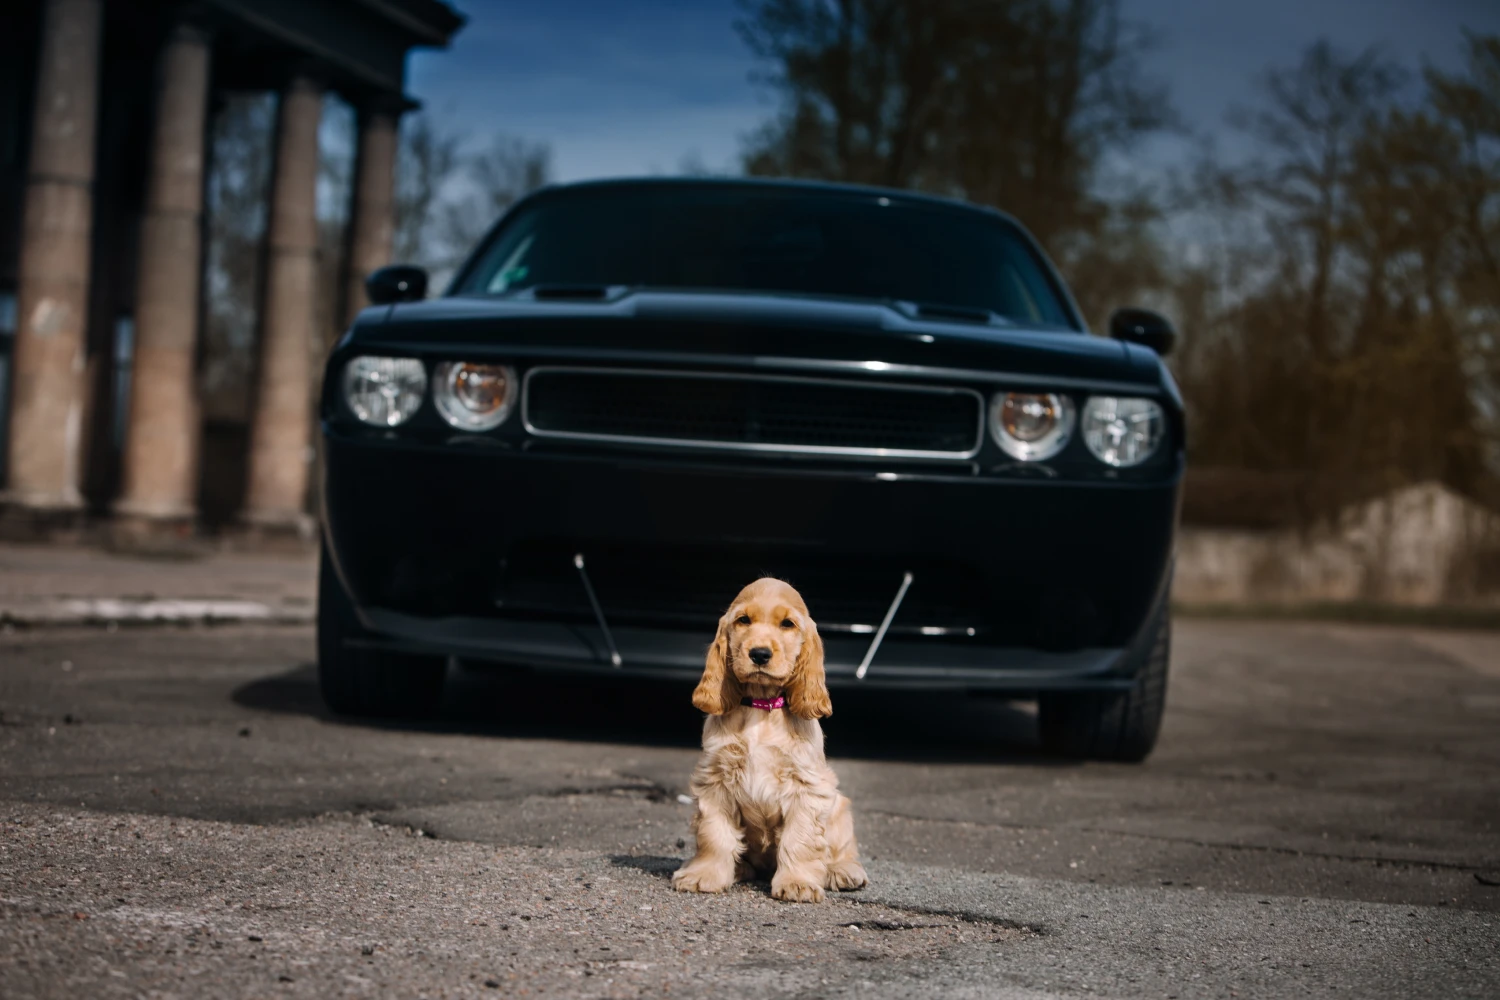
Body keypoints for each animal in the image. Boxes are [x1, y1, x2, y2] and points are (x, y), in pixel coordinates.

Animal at [672, 575, 870, 905]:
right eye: (743, 620)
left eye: (787, 624)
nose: (760, 654)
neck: (761, 706)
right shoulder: (715, 778)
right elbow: (713, 834)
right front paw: (703, 875)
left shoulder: (807, 785)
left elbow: (800, 838)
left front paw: (798, 883)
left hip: (840, 807)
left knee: (840, 850)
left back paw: (842, 871)